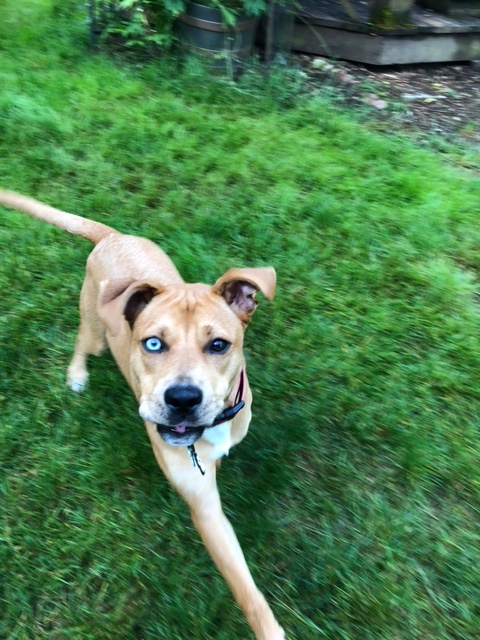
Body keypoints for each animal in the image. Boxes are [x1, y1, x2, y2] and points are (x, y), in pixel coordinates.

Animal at [0, 191, 284, 640]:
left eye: (219, 345)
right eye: (152, 343)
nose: (182, 398)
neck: (214, 427)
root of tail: (112, 236)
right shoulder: (205, 507)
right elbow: (245, 589)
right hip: (96, 328)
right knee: (82, 341)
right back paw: (77, 374)